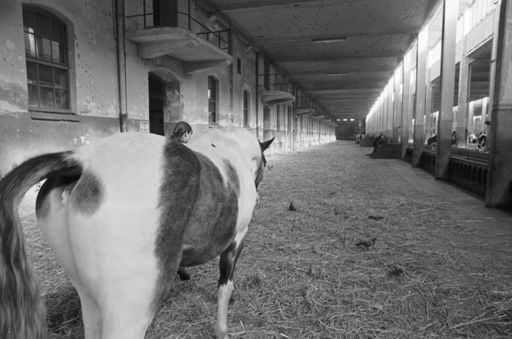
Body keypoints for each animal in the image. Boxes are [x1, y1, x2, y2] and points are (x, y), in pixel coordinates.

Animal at [0, 127, 274, 339]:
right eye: (265, 163)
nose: (260, 194)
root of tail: (83, 159)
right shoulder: (237, 239)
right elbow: (224, 287)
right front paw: (222, 329)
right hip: (129, 310)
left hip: (89, 298)